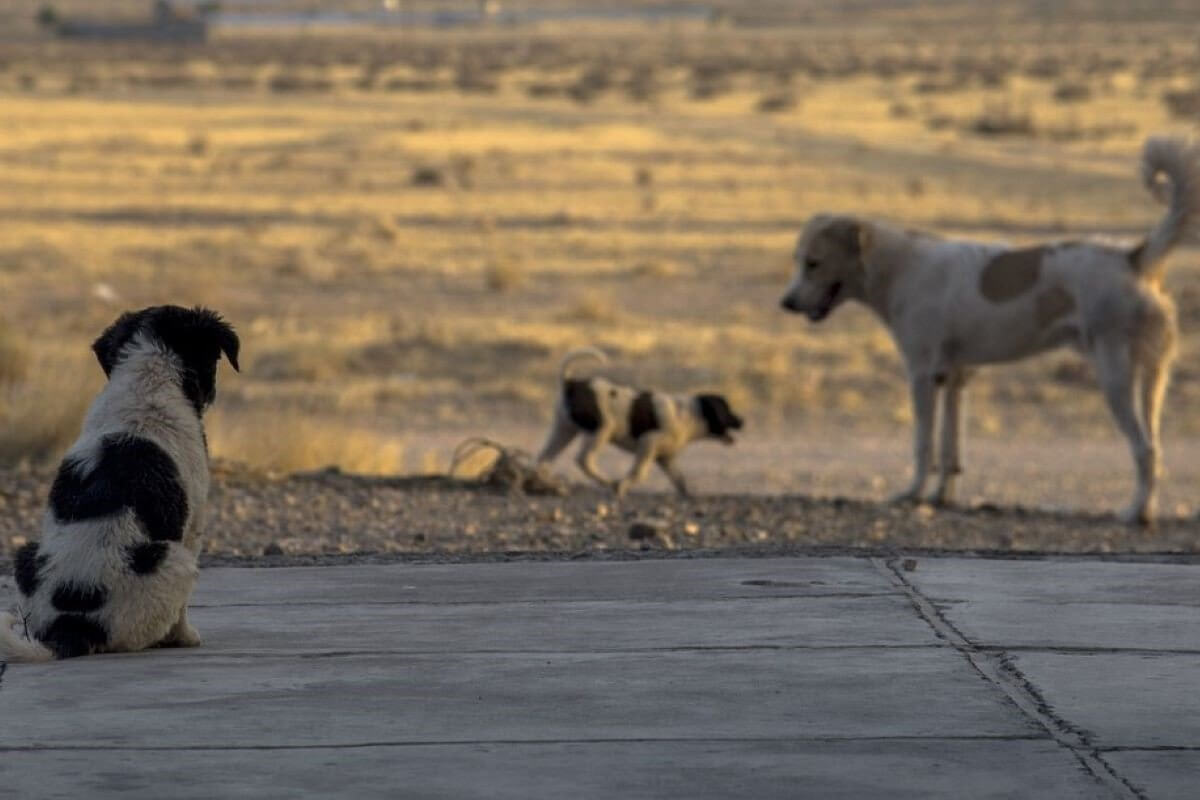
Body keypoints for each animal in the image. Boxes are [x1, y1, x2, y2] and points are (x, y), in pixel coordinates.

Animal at [0, 303, 238, 662]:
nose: (211, 394)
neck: (148, 381)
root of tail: (72, 627)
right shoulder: (193, 524)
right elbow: (182, 612)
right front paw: (186, 637)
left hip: (25, 555)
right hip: (174, 560)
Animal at [535, 347, 739, 496]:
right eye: (727, 410)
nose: (742, 421)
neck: (690, 414)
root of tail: (570, 382)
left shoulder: (666, 458)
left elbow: (680, 479)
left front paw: (687, 495)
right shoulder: (648, 443)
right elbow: (639, 473)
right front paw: (621, 486)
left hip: (564, 430)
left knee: (544, 458)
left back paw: (544, 481)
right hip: (601, 429)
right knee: (584, 460)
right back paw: (607, 481)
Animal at [772, 137, 1195, 525]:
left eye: (814, 263)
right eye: (798, 260)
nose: (786, 303)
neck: (898, 267)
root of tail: (1133, 257)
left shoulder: (922, 376)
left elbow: (923, 444)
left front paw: (911, 494)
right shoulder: (954, 377)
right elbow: (949, 449)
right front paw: (941, 497)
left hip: (1114, 377)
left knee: (1145, 449)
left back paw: (1134, 513)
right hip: (1152, 380)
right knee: (1156, 447)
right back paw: (1146, 509)